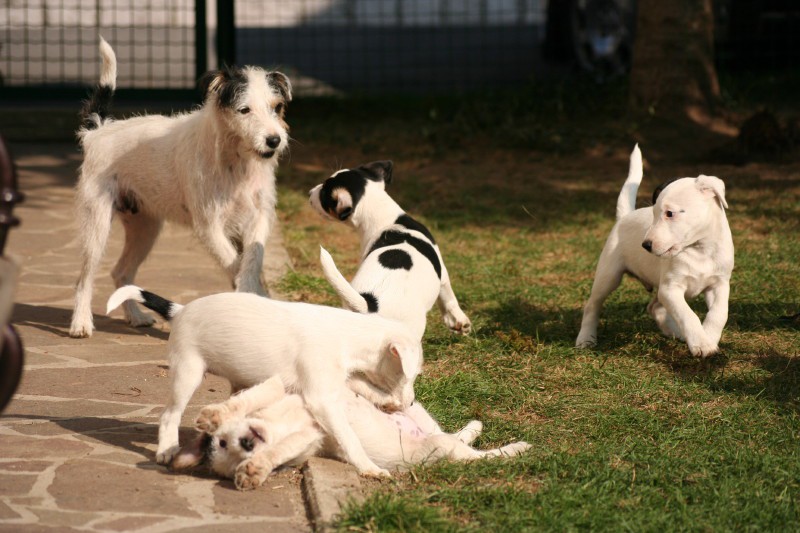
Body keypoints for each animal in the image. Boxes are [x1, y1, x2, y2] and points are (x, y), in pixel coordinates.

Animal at [71, 37, 290, 336]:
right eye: (244, 110)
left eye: (276, 107)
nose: (274, 140)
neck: (236, 161)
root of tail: (97, 131)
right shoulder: (209, 226)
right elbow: (233, 262)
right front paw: (249, 295)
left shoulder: (259, 218)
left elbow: (251, 261)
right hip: (97, 223)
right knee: (85, 278)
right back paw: (81, 322)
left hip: (145, 227)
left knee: (120, 272)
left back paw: (136, 316)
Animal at [106, 284, 424, 476]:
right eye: (409, 373)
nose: (410, 403)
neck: (349, 333)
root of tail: (181, 310)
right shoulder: (321, 398)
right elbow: (349, 437)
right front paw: (369, 467)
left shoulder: (334, 379)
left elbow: (362, 385)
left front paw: (388, 401)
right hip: (188, 371)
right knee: (169, 414)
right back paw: (167, 449)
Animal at [170, 372, 532, 488]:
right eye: (226, 448)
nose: (246, 443)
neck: (277, 423)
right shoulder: (311, 440)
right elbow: (279, 450)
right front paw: (256, 469)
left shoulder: (283, 386)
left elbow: (249, 398)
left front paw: (215, 414)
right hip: (442, 447)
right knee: (478, 455)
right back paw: (515, 449)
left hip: (415, 410)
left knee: (459, 438)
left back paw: (483, 428)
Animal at [306, 160, 468, 338]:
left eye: (323, 192)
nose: (309, 192)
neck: (385, 218)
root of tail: (370, 303)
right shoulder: (443, 274)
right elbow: (449, 299)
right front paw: (460, 322)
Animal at [576, 143, 736, 356]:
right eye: (653, 213)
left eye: (670, 213)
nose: (646, 245)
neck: (699, 249)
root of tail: (624, 217)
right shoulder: (671, 289)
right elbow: (687, 315)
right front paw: (701, 342)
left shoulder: (719, 284)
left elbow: (719, 313)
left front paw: (708, 337)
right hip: (608, 276)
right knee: (592, 306)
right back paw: (586, 339)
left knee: (654, 307)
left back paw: (677, 333)